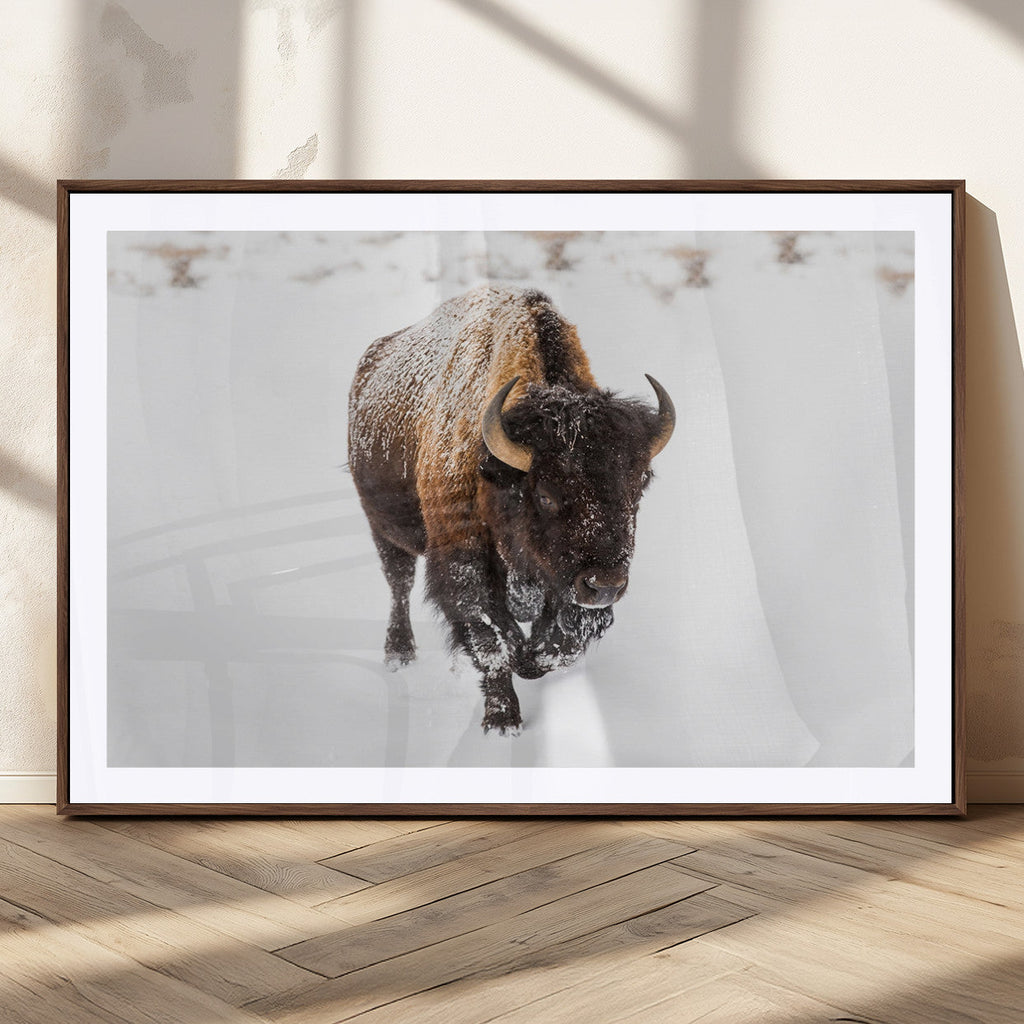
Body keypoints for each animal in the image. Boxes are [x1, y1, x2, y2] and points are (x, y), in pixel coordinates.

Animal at [348, 285, 674, 734]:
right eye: (546, 495)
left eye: (638, 487)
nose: (605, 585)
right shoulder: (464, 568)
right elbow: (493, 642)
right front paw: (502, 721)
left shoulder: (566, 587)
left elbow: (558, 643)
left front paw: (531, 659)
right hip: (384, 530)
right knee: (399, 583)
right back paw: (399, 654)